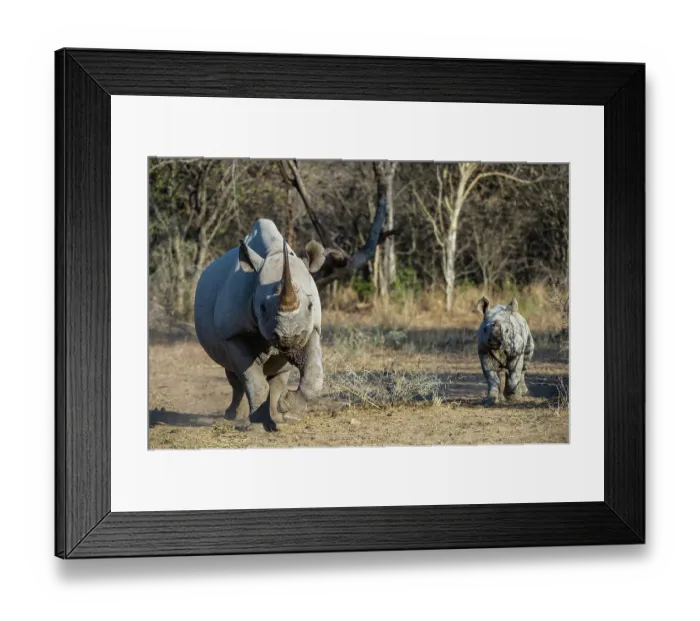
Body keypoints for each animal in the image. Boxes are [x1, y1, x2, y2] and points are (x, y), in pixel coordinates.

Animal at [194, 219, 325, 432]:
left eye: (311, 306)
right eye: (262, 308)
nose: (289, 337)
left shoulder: (311, 329)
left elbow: (314, 374)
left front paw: (287, 409)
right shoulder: (232, 334)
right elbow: (253, 379)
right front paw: (258, 426)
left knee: (279, 373)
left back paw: (279, 416)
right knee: (234, 375)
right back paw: (233, 416)